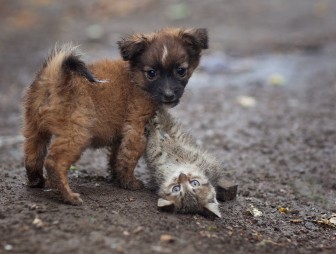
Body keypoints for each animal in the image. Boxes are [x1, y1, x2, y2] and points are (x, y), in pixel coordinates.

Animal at [23, 28, 207, 204]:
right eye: (151, 73)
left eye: (181, 71)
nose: (169, 95)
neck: (135, 78)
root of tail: (54, 79)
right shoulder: (136, 130)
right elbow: (128, 158)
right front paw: (129, 183)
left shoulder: (121, 135)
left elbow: (117, 157)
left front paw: (117, 178)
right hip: (77, 134)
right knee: (54, 163)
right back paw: (68, 196)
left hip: (35, 129)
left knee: (32, 156)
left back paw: (37, 181)